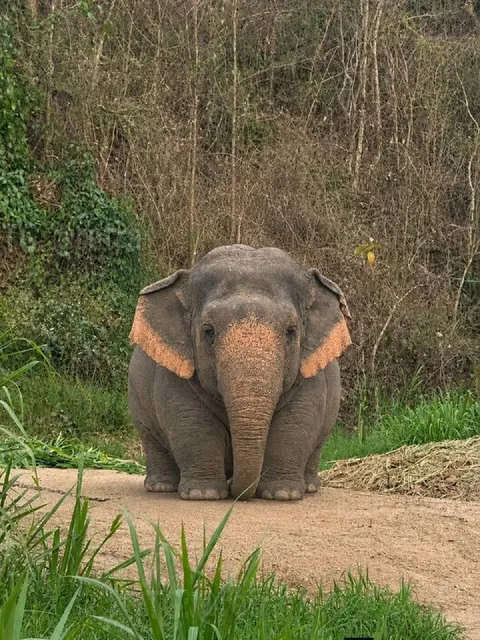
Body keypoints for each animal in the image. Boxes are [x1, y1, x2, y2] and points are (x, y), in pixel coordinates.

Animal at [128, 244, 351, 501]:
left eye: (291, 331)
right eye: (208, 331)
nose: (237, 490)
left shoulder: (309, 372)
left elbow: (296, 420)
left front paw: (283, 494)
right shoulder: (176, 374)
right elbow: (192, 421)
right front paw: (202, 494)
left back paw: (311, 486)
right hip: (137, 400)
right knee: (151, 439)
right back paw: (161, 486)